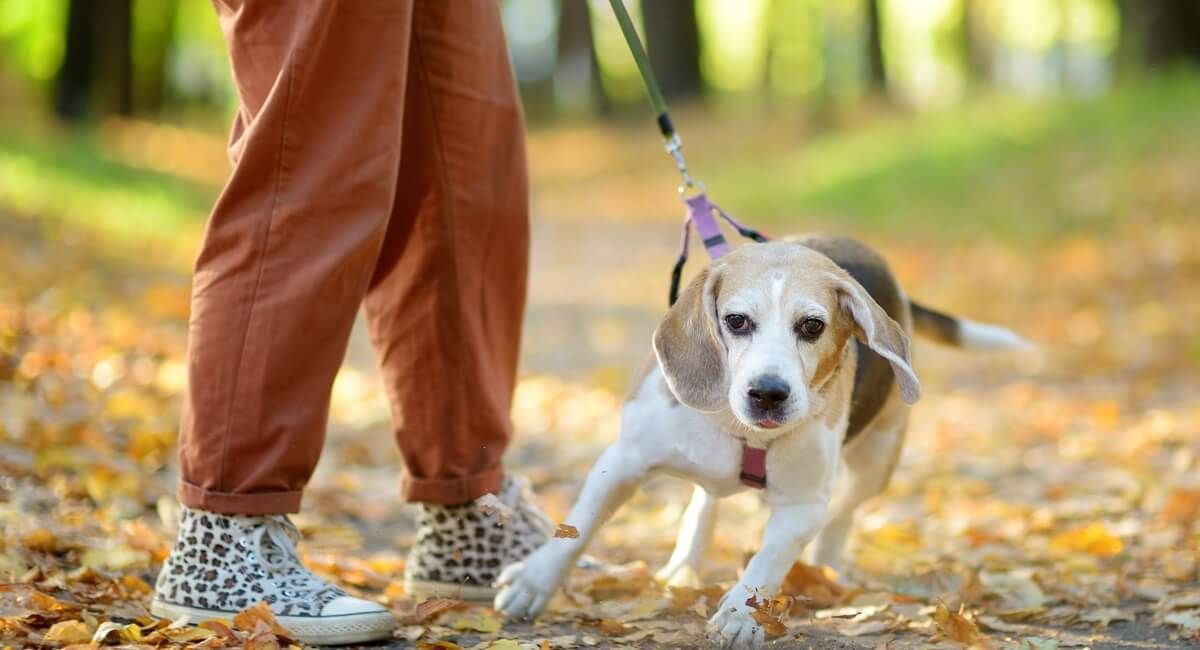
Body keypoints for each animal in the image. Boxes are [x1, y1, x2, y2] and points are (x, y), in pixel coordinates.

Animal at [492, 237, 1027, 647]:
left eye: (811, 326)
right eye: (736, 321)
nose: (769, 393)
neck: (740, 427)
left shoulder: (803, 505)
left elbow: (767, 562)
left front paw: (741, 615)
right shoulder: (623, 459)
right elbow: (576, 527)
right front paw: (534, 582)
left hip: (877, 461)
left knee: (841, 514)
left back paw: (826, 569)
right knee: (705, 503)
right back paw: (684, 562)